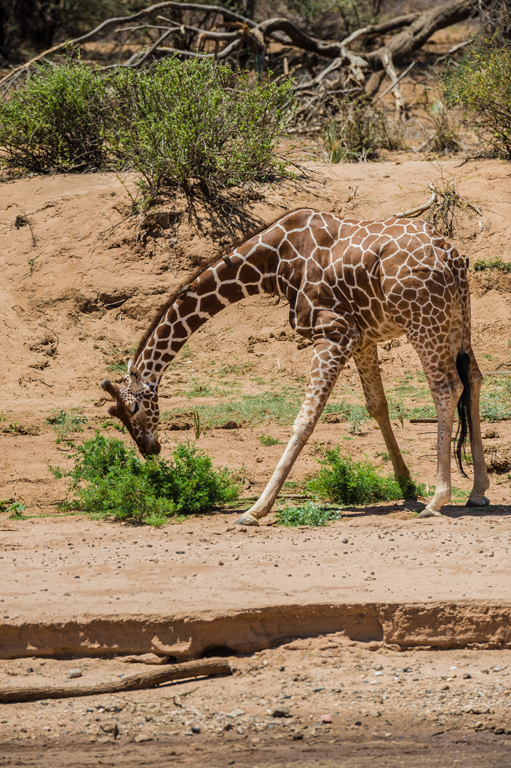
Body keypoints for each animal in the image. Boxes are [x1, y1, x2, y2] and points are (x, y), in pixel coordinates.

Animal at [101, 207, 492, 524]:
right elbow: (376, 405)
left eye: (133, 409)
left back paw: (438, 501)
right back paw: (477, 491)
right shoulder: (362, 337)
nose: (148, 449)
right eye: (116, 414)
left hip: (422, 320)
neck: (275, 264)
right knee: (474, 379)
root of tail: (451, 256)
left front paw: (256, 509)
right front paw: (406, 483)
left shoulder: (334, 333)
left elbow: (304, 420)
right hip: (459, 319)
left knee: (447, 388)